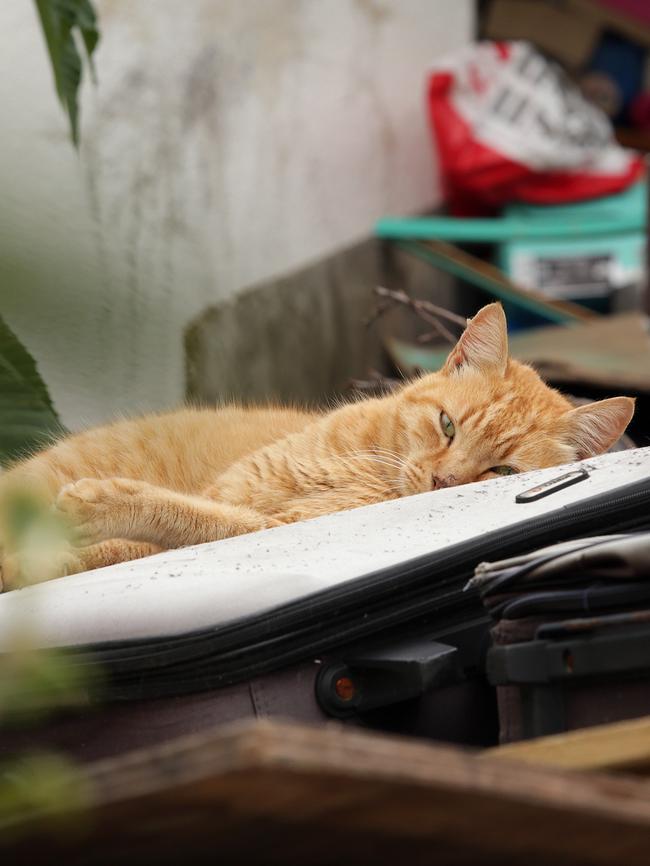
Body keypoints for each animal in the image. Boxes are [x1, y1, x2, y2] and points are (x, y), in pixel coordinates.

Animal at [0, 300, 632, 592]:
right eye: (448, 426)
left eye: (501, 472)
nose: (443, 482)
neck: (367, 469)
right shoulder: (238, 491)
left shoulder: (258, 523)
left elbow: (175, 520)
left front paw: (98, 509)